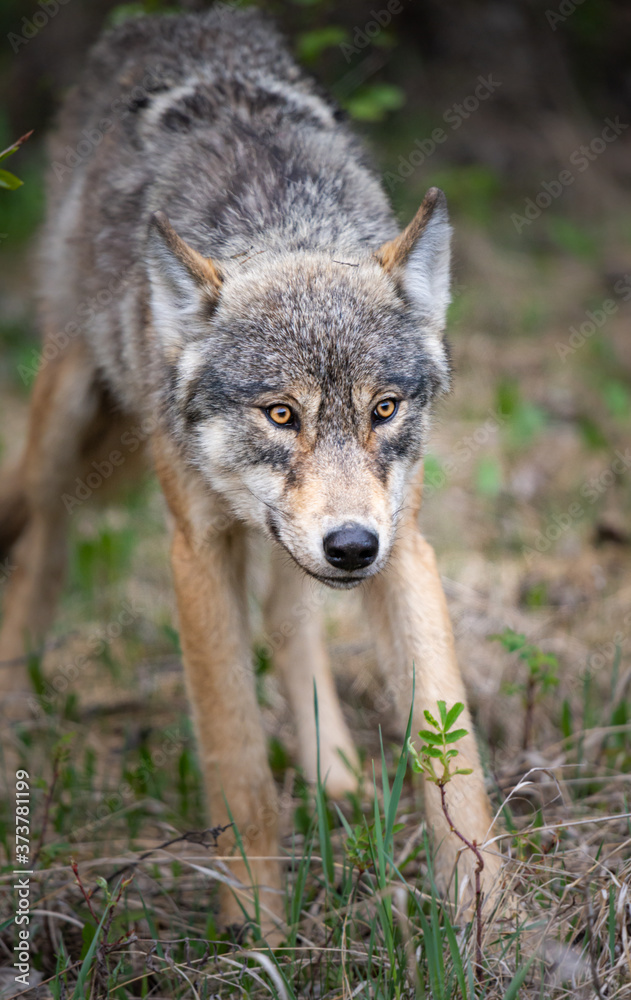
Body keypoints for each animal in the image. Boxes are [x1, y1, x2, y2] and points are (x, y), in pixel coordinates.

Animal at [0, 5, 502, 936]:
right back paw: (15, 695)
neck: (280, 222)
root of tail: (172, 18)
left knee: (289, 618)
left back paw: (334, 774)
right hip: (65, 414)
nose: (351, 547)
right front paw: (257, 933)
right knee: (46, 531)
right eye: (281, 414)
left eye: (383, 409)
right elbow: (240, 771)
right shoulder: (198, 552)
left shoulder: (405, 544)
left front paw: (496, 924)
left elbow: (452, 768)